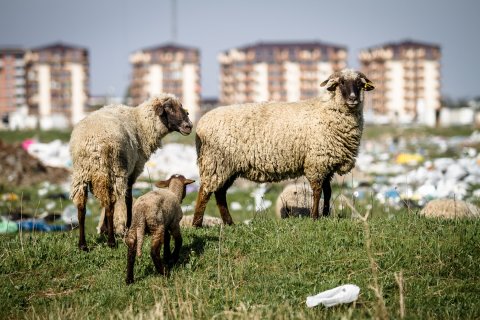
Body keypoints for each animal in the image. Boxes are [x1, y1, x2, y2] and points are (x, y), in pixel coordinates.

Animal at [70, 94, 193, 251]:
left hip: (82, 174)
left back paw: (83, 244)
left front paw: (105, 230)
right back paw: (111, 242)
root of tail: (93, 145)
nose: (189, 126)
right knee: (110, 206)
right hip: (113, 170)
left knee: (81, 207)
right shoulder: (132, 170)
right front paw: (128, 227)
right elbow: (128, 199)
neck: (140, 123)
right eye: (169, 108)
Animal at [193, 69, 374, 226]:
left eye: (359, 84)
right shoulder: (316, 162)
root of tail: (200, 124)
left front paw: (325, 215)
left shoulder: (327, 163)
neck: (328, 110)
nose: (353, 99)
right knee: (205, 192)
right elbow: (317, 191)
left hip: (227, 166)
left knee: (220, 193)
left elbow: (328, 192)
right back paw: (197, 224)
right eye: (341, 82)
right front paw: (315, 217)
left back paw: (229, 223)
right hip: (215, 162)